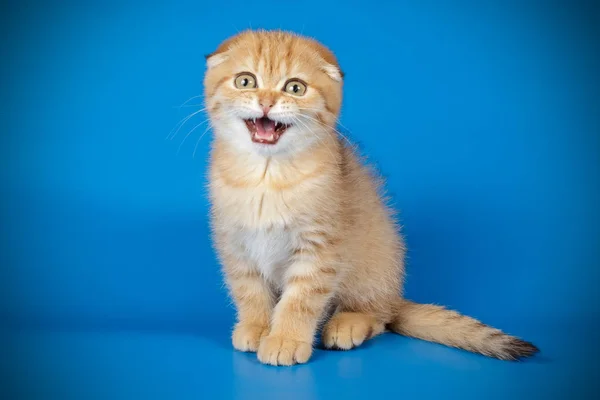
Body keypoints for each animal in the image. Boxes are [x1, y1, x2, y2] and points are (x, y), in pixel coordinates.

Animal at [202, 28, 540, 366]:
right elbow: (249, 291)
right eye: (246, 81)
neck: (267, 175)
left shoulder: (319, 248)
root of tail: (394, 297)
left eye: (295, 88)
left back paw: (348, 324)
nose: (266, 102)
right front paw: (257, 326)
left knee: (379, 317)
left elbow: (300, 300)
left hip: (373, 267)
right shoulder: (235, 245)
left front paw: (286, 338)